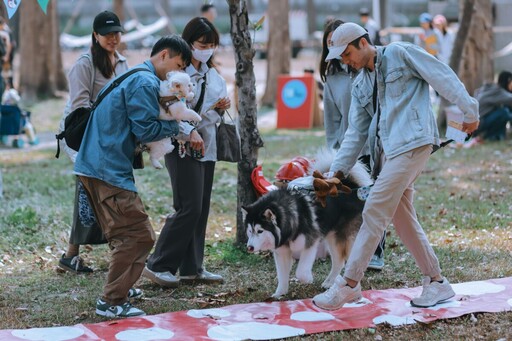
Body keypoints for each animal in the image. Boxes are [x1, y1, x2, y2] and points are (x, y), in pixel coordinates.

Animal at [242, 161, 370, 296]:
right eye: (250, 231)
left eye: (260, 231)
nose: (249, 248)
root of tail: (352, 189)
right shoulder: (282, 251)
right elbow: (282, 275)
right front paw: (279, 293)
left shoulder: (310, 243)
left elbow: (301, 271)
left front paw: (307, 279)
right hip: (332, 238)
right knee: (339, 261)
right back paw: (329, 282)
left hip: (347, 239)